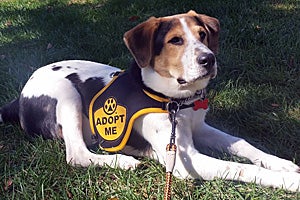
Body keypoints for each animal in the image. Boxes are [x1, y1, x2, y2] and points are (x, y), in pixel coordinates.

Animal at [0, 10, 300, 192]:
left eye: (202, 35)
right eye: (175, 40)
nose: (209, 59)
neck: (176, 101)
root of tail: (20, 96)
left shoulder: (200, 128)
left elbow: (242, 144)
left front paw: (281, 163)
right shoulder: (186, 160)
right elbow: (238, 167)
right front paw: (289, 180)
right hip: (66, 94)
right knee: (77, 155)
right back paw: (124, 162)